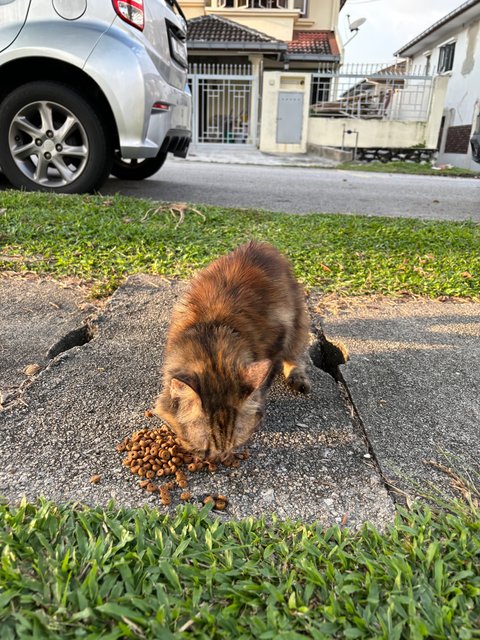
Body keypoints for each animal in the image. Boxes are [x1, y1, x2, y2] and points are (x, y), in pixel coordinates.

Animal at [153, 241, 312, 460]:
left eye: (233, 444)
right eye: (206, 446)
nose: (220, 458)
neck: (211, 334)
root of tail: (261, 244)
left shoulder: (278, 341)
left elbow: (264, 386)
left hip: (298, 321)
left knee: (295, 355)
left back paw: (298, 379)